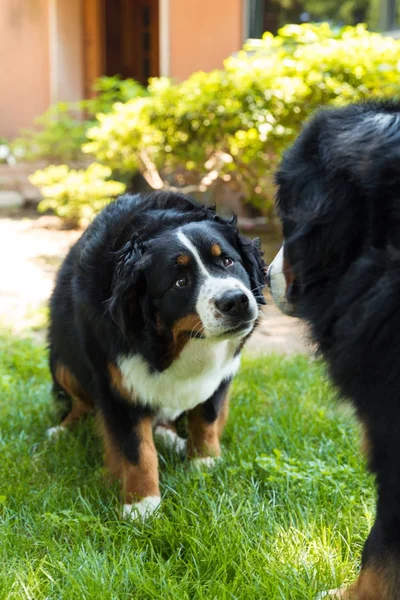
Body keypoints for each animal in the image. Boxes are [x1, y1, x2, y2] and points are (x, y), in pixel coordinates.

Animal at [47, 193, 268, 520]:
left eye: (227, 261)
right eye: (180, 282)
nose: (236, 301)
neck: (178, 345)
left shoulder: (222, 375)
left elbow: (207, 416)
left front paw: (204, 462)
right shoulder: (116, 383)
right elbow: (136, 448)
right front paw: (141, 503)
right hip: (62, 362)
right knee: (79, 403)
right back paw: (61, 430)